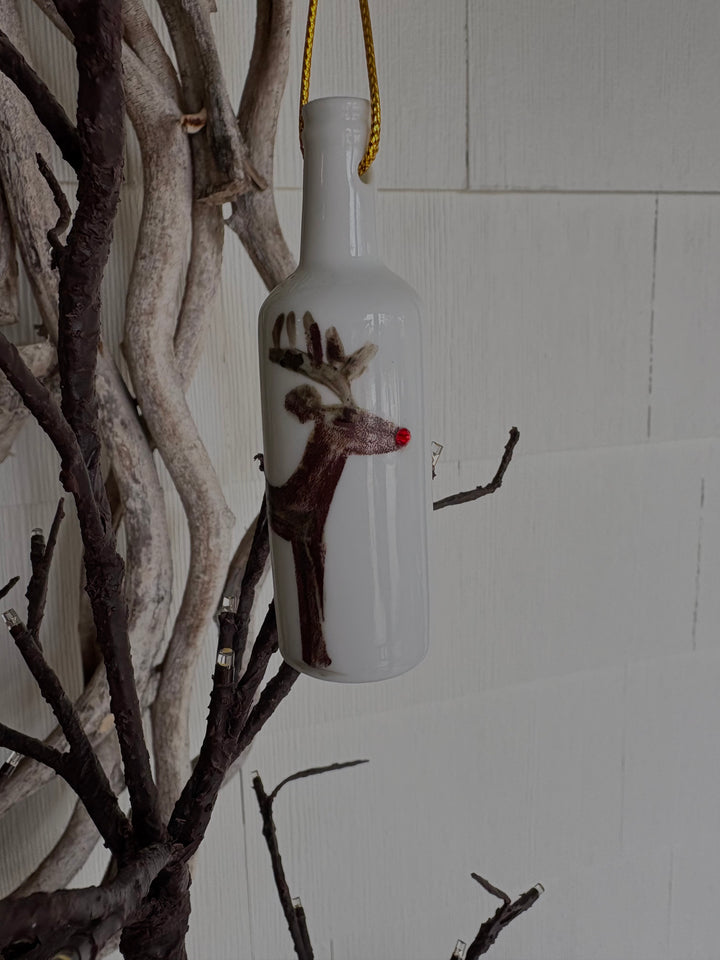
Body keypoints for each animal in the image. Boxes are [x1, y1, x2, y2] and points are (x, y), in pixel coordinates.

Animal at [266, 311, 411, 669]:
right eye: (345, 416)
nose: (403, 433)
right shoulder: (300, 540)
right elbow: (312, 607)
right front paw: (319, 657)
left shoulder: (318, 542)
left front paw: (322, 655)